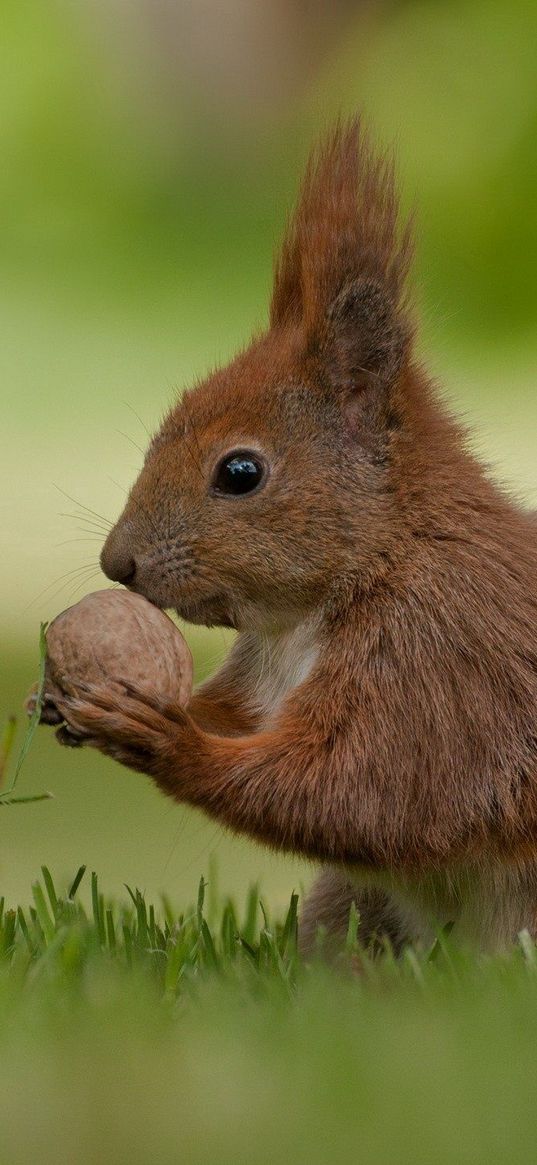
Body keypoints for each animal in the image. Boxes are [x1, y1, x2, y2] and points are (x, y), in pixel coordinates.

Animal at [42, 120, 537, 955]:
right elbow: (246, 725)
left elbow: (361, 793)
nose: (118, 563)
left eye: (240, 472)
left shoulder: (439, 663)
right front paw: (70, 698)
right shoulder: (262, 678)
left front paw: (166, 739)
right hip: (350, 907)